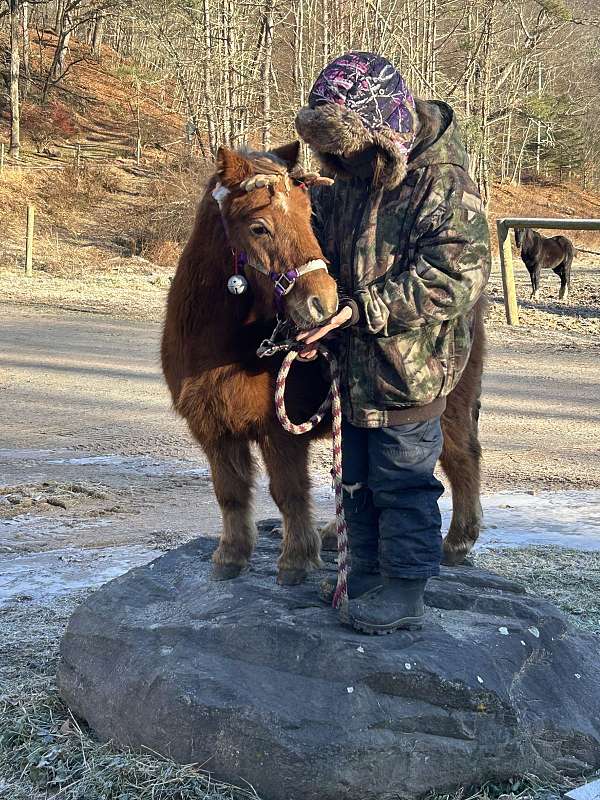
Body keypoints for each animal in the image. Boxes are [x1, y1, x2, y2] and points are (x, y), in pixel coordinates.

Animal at [162, 141, 486, 584]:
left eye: (308, 218)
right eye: (259, 226)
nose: (324, 303)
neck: (218, 345)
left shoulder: (279, 432)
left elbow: (288, 492)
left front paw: (296, 560)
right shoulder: (212, 428)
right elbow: (230, 493)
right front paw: (230, 556)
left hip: (448, 407)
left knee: (460, 458)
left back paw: (455, 543)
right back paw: (337, 535)